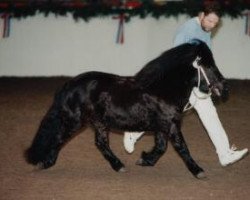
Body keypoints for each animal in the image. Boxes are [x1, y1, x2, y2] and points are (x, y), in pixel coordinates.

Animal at [25, 39, 229, 179]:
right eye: (209, 65)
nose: (224, 87)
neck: (163, 89)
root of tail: (69, 85)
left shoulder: (163, 126)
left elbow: (161, 147)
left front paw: (145, 160)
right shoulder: (170, 124)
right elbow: (182, 148)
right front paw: (198, 170)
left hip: (99, 122)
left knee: (101, 144)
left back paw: (119, 165)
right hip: (75, 121)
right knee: (59, 138)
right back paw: (46, 163)